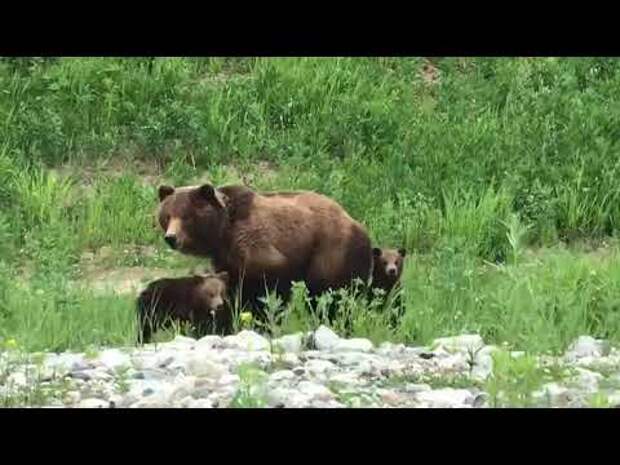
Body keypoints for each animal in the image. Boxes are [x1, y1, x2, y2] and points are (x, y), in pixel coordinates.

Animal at [157, 183, 370, 314]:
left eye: (186, 216)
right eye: (167, 216)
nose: (171, 238)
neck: (223, 231)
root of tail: (357, 224)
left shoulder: (257, 247)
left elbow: (265, 284)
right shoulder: (225, 257)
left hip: (331, 249)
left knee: (330, 291)